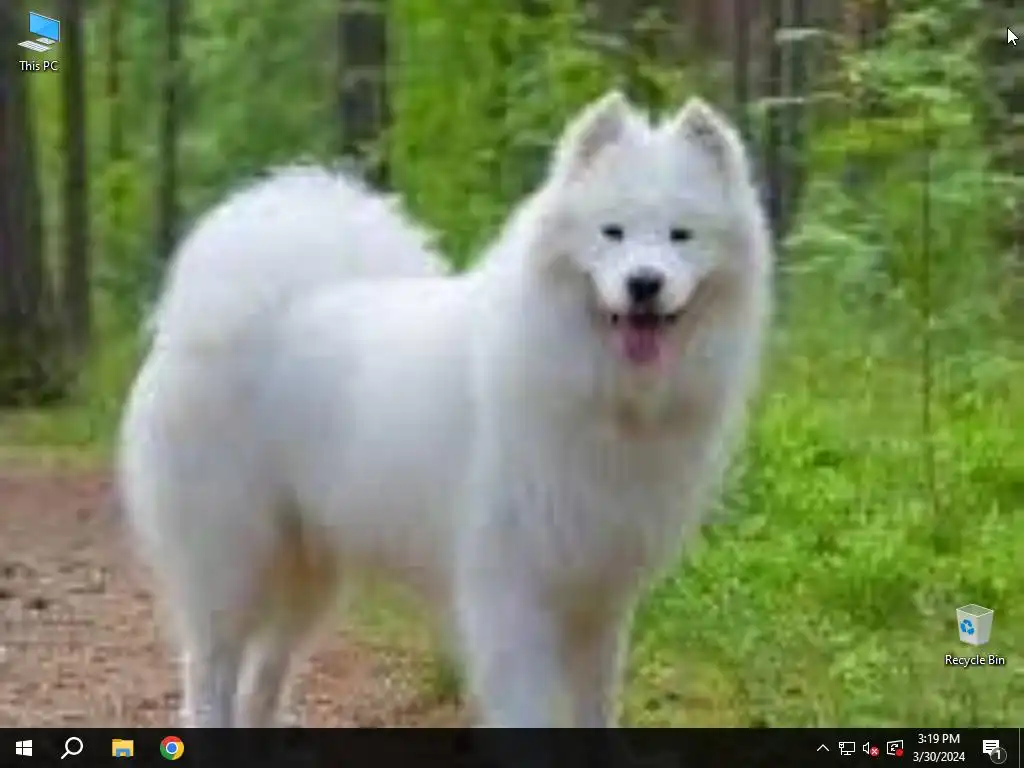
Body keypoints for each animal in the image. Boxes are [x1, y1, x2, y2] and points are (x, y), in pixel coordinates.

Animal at [117, 91, 772, 728]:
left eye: (681, 235)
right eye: (612, 232)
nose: (644, 284)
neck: (602, 391)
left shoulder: (601, 594)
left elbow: (595, 709)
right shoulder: (510, 591)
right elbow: (528, 712)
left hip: (309, 568)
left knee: (264, 677)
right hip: (230, 556)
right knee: (210, 669)